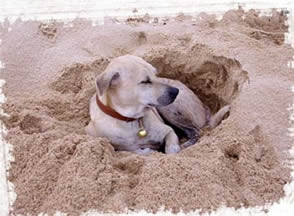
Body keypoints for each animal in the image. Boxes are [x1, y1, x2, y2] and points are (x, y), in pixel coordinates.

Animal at [85, 54, 230, 154]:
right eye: (145, 81)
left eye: (155, 74)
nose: (175, 92)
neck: (131, 120)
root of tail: (204, 108)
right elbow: (133, 150)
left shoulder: (168, 131)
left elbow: (171, 147)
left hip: (170, 109)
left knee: (195, 131)